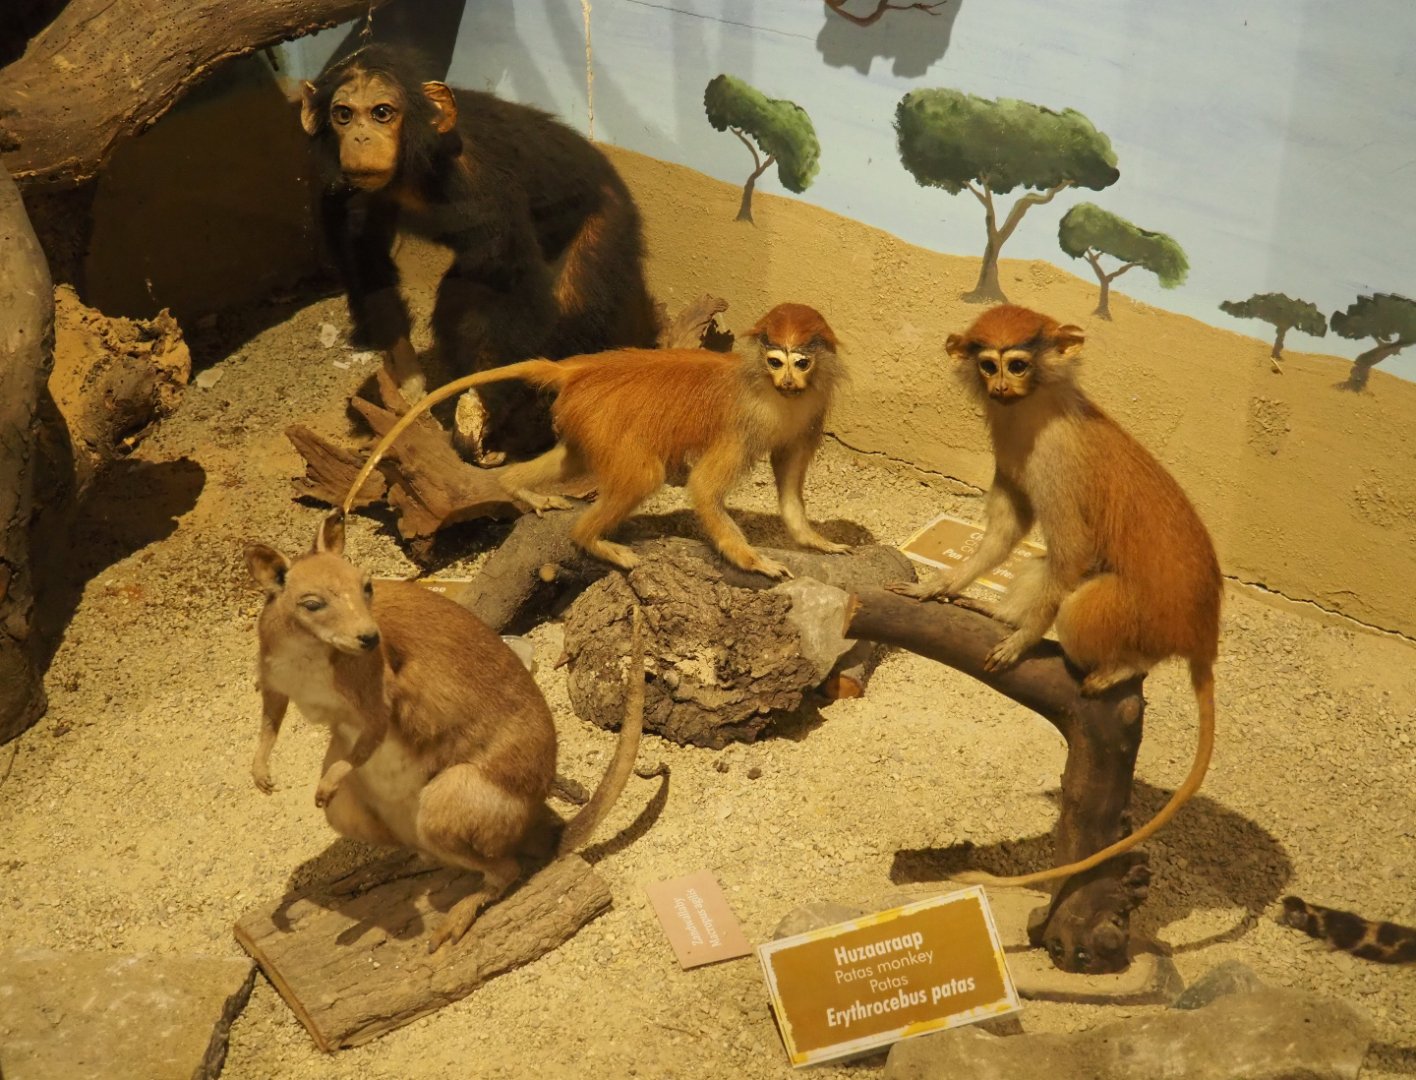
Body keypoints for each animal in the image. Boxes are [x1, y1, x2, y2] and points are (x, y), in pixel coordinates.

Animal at [245, 511, 645, 950]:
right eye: (313, 604)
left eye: (366, 586)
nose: (370, 638)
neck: (307, 651)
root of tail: (536, 835)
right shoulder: (274, 682)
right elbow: (269, 723)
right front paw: (261, 777)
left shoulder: (376, 695)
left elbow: (371, 733)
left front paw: (321, 785)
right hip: (352, 816)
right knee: (425, 855)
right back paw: (371, 875)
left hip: (445, 805)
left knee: (504, 870)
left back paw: (453, 922)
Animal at [301, 44, 658, 459]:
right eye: (343, 114)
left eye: (381, 112)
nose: (359, 138)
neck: (415, 165)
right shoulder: (348, 192)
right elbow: (365, 256)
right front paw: (407, 377)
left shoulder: (484, 185)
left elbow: (511, 284)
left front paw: (480, 408)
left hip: (608, 221)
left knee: (575, 307)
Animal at [340, 302, 849, 579]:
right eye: (775, 360)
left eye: (801, 362)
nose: (787, 380)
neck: (772, 391)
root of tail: (583, 367)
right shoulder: (742, 424)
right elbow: (704, 489)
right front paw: (752, 562)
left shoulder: (808, 414)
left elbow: (789, 482)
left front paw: (814, 540)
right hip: (604, 417)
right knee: (643, 475)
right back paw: (590, 539)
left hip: (585, 415)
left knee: (571, 459)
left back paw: (517, 487)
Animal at [889, 304, 1222, 890]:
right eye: (988, 363)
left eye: (1019, 363)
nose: (1000, 385)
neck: (1036, 408)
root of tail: (1202, 633)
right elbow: (1006, 531)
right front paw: (942, 586)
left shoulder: (1059, 464)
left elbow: (1070, 555)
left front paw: (1021, 639)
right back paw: (997, 609)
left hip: (1138, 617)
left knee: (1083, 600)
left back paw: (1123, 664)